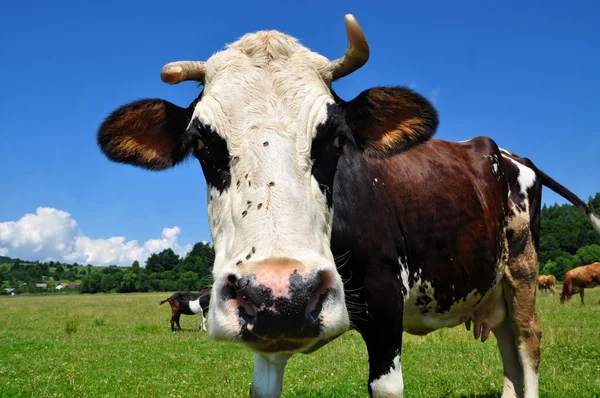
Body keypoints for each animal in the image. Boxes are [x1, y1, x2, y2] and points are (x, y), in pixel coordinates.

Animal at [95, 14, 600, 398]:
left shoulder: (385, 307)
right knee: (507, 350)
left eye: (336, 139)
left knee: (528, 346)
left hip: (523, 272)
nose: (282, 295)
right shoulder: (265, 334)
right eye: (201, 144)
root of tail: (505, 153)